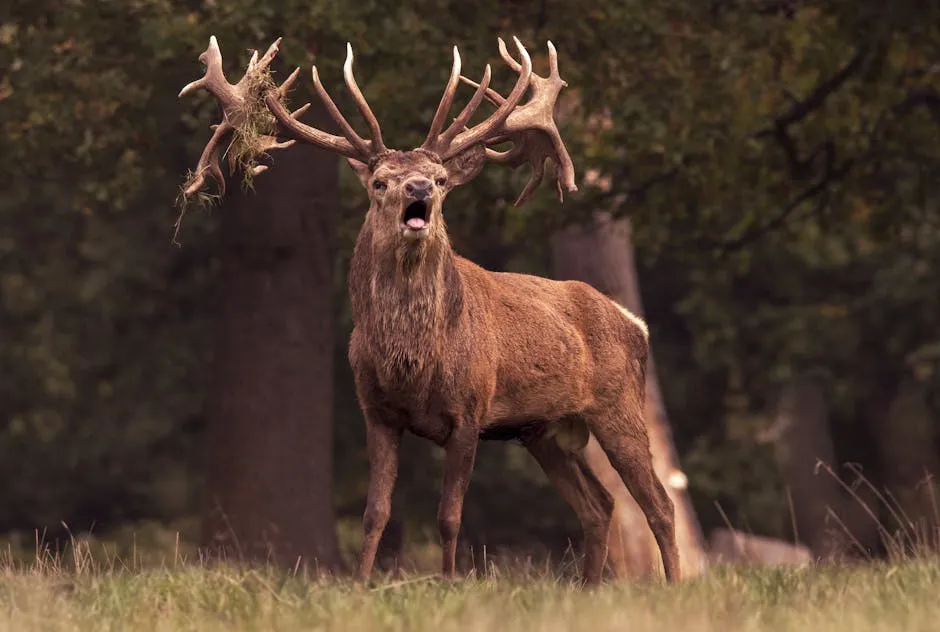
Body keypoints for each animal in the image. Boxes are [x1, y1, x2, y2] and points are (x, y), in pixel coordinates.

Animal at [178, 34, 680, 585]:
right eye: (380, 181)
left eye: (439, 179)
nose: (417, 189)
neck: (412, 365)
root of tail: (636, 323)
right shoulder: (376, 412)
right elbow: (375, 512)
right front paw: (360, 584)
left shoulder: (470, 411)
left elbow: (449, 516)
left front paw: (450, 582)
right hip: (542, 430)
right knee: (600, 505)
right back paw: (589, 588)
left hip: (619, 404)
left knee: (659, 503)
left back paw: (674, 584)